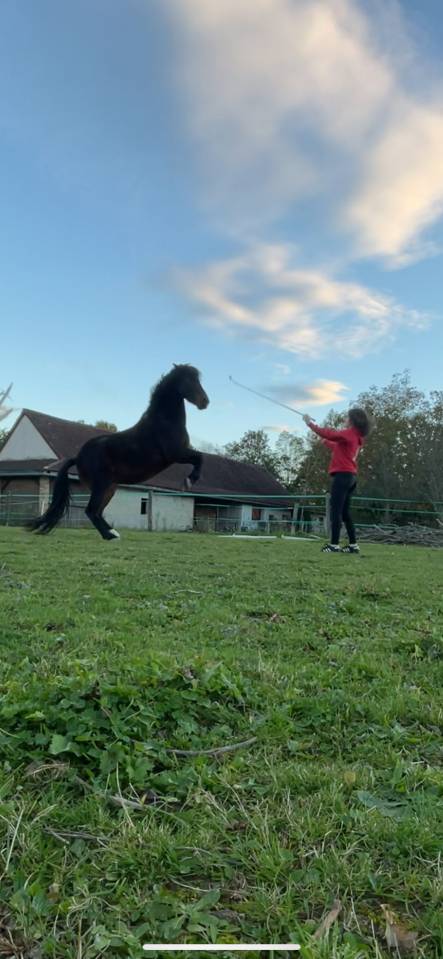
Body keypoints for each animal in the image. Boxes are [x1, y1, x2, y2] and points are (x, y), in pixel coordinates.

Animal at [29, 364, 209, 540]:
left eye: (197, 380)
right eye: (188, 380)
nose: (205, 402)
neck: (164, 422)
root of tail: (78, 457)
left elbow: (199, 458)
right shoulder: (176, 454)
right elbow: (199, 458)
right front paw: (189, 481)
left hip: (110, 488)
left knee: (97, 512)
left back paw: (113, 533)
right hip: (101, 486)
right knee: (91, 511)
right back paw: (110, 535)